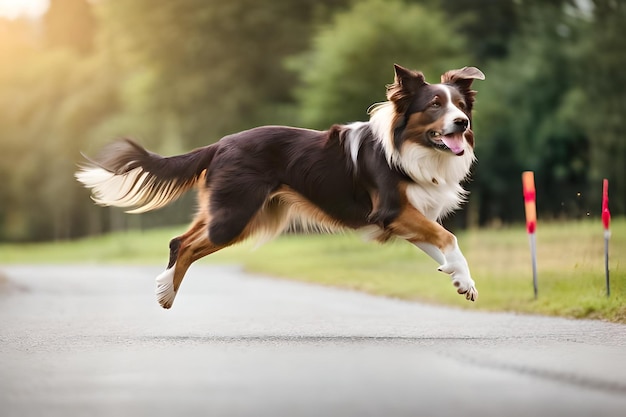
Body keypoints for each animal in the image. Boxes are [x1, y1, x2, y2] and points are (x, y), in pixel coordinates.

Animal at [77, 63, 482, 308]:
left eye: (461, 105)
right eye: (434, 105)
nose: (461, 123)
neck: (413, 147)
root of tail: (220, 143)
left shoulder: (408, 216)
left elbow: (440, 245)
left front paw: (460, 279)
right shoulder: (392, 210)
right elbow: (448, 237)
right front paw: (459, 274)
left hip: (230, 209)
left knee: (180, 239)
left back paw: (164, 285)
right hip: (236, 216)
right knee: (187, 245)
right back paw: (166, 293)